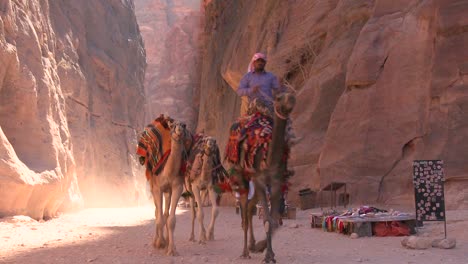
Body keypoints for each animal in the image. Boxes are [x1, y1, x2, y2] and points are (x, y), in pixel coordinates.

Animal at [227, 92, 296, 262]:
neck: (268, 160)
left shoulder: (277, 182)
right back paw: (245, 251)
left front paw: (264, 249)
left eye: (292, 96)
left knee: (250, 208)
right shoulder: (259, 179)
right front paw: (267, 255)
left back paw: (252, 245)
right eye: (278, 98)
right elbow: (266, 219)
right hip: (242, 175)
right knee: (244, 211)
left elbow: (274, 221)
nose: (291, 98)